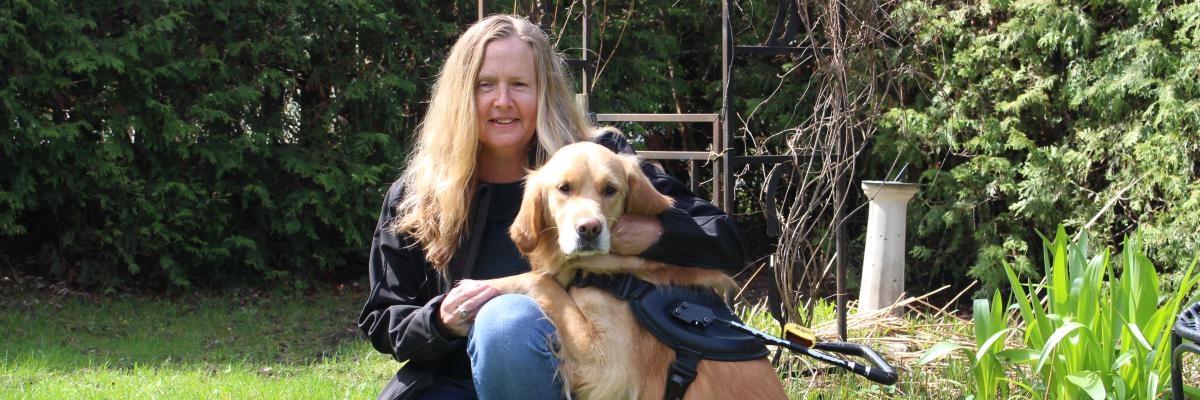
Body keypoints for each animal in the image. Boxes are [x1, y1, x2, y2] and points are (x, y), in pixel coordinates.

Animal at [477, 142, 787, 398]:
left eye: (610, 189)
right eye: (564, 188)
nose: (589, 229)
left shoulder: (606, 365)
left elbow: (542, 282)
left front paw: (478, 289)